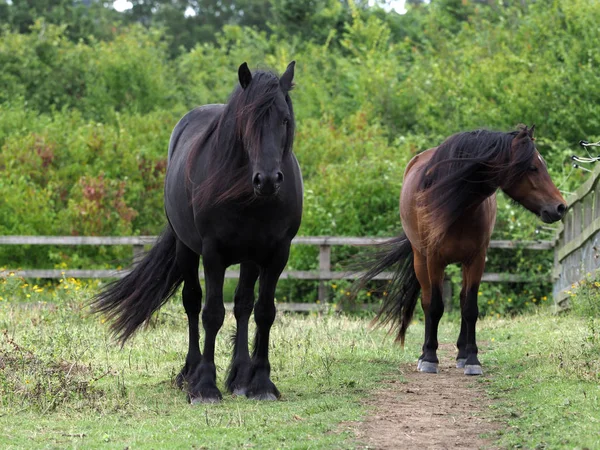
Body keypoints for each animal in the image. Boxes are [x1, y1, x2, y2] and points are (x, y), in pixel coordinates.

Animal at [94, 61, 304, 402]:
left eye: (284, 120)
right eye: (247, 121)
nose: (268, 179)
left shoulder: (276, 254)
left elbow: (264, 312)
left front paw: (260, 383)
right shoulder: (212, 253)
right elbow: (212, 313)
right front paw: (205, 385)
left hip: (249, 257)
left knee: (243, 305)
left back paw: (240, 377)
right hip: (186, 249)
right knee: (192, 303)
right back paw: (189, 373)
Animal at [356, 126, 568, 376]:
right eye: (533, 167)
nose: (560, 207)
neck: (457, 207)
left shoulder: (476, 260)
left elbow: (470, 308)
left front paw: (472, 359)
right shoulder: (434, 261)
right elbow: (435, 306)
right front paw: (429, 357)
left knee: (462, 300)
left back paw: (461, 354)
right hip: (420, 259)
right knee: (426, 301)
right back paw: (424, 354)